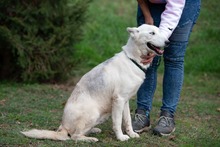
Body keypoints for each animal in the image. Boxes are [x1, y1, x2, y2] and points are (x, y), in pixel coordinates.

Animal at [21, 24, 168, 142]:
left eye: (159, 31)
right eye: (152, 33)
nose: (167, 41)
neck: (132, 60)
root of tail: (63, 126)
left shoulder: (125, 101)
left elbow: (127, 121)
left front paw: (131, 134)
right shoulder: (119, 100)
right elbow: (117, 122)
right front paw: (121, 137)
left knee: (77, 132)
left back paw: (93, 131)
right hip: (94, 113)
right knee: (73, 136)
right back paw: (90, 139)